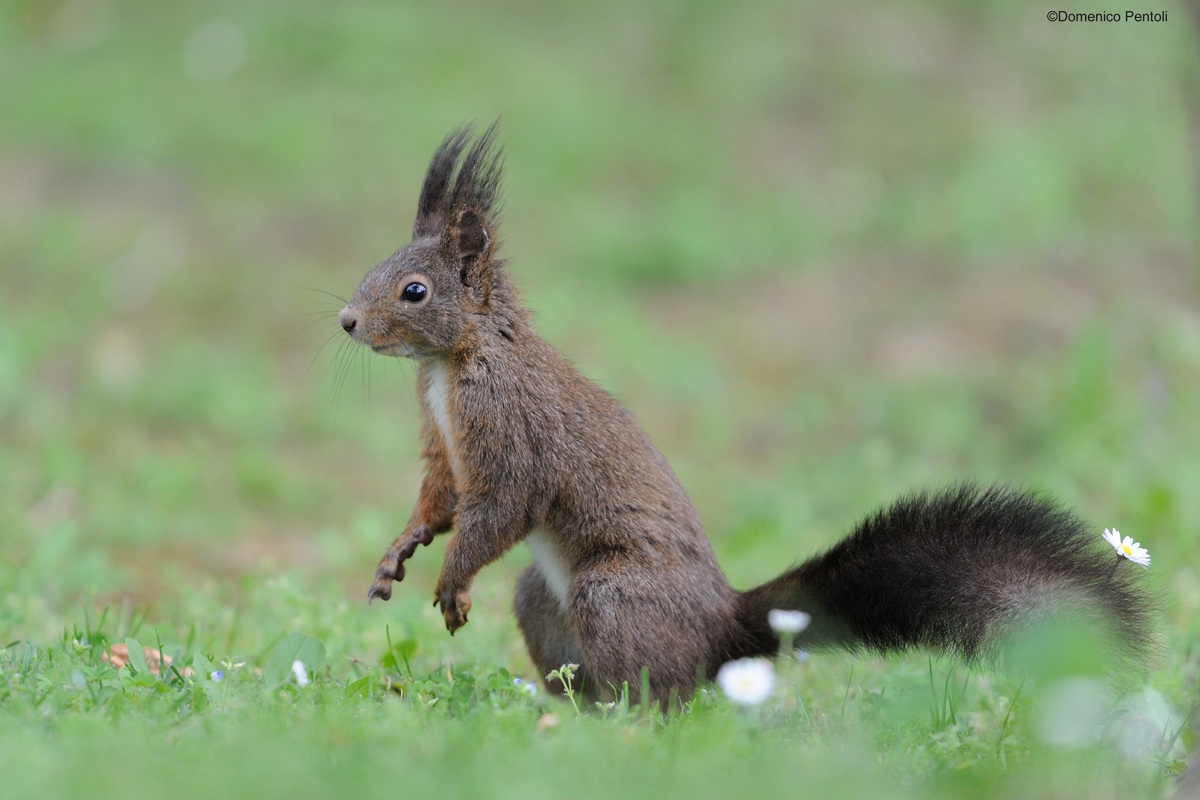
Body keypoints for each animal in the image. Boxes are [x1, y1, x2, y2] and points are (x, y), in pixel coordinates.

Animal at [335, 124, 1152, 704]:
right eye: (375, 268)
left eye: (413, 290)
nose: (346, 322)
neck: (450, 366)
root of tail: (721, 632)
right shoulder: (443, 443)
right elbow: (440, 497)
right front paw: (401, 548)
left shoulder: (510, 432)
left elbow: (499, 508)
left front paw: (451, 582)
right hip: (544, 598)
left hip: (614, 594)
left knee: (663, 693)